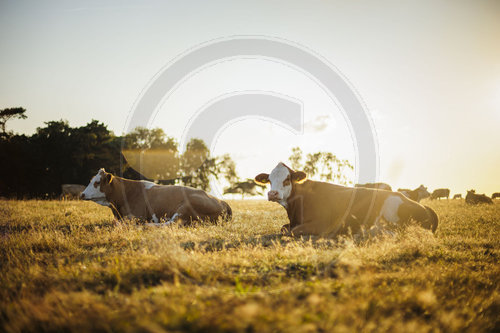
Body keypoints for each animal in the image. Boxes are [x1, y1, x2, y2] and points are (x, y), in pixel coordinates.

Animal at [81, 167, 231, 224]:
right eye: (90, 180)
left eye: (97, 182)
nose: (82, 194)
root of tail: (222, 201)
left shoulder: (137, 216)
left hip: (187, 206)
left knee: (172, 224)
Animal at [254, 161, 438, 235]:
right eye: (269, 180)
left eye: (287, 179)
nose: (272, 194)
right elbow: (284, 228)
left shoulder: (321, 225)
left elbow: (290, 232)